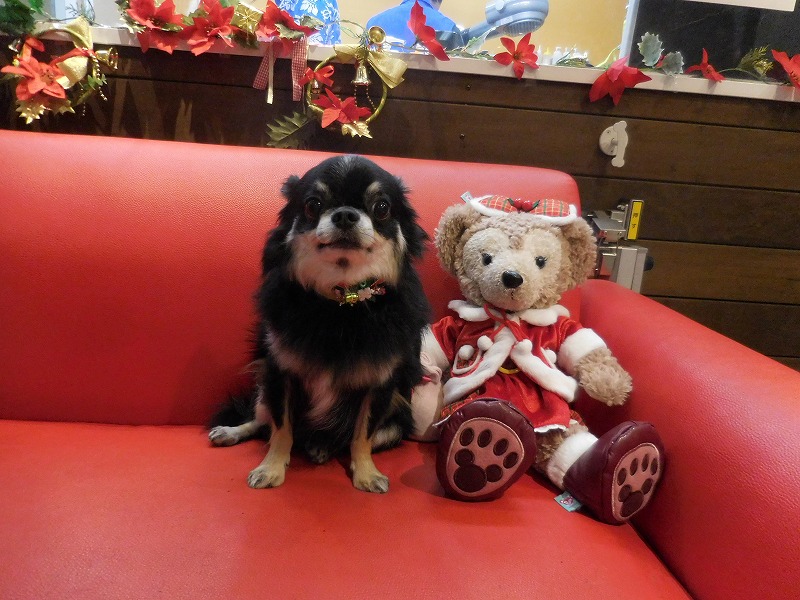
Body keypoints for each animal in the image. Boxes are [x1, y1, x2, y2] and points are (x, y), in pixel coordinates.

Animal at [209, 155, 430, 493]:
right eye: (313, 205)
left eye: (382, 208)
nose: (345, 214)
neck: (341, 303)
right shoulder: (280, 373)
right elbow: (281, 429)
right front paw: (271, 468)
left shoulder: (381, 385)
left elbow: (362, 435)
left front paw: (366, 474)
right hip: (263, 391)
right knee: (260, 420)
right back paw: (231, 432)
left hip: (398, 418)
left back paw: (320, 447)